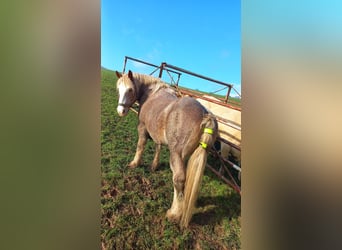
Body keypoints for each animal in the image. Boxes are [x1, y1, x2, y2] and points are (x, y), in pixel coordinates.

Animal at [114, 70, 216, 229]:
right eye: (119, 89)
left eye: (130, 89)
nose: (121, 111)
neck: (151, 94)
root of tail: (206, 115)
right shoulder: (156, 133)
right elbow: (158, 147)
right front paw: (154, 165)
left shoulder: (142, 127)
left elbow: (140, 146)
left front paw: (134, 163)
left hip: (176, 155)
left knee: (178, 179)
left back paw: (174, 213)